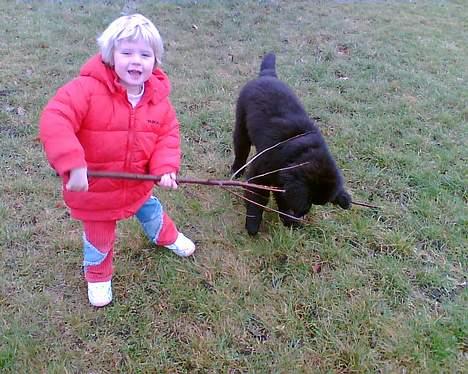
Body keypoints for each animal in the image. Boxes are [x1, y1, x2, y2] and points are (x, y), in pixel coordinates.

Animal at [230, 52, 352, 235]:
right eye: (308, 201)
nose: (303, 214)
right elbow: (257, 199)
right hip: (242, 125)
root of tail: (267, 75)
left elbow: (281, 200)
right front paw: (252, 225)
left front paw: (288, 221)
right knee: (241, 149)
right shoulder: (261, 174)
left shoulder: (281, 183)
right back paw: (236, 170)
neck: (299, 154)